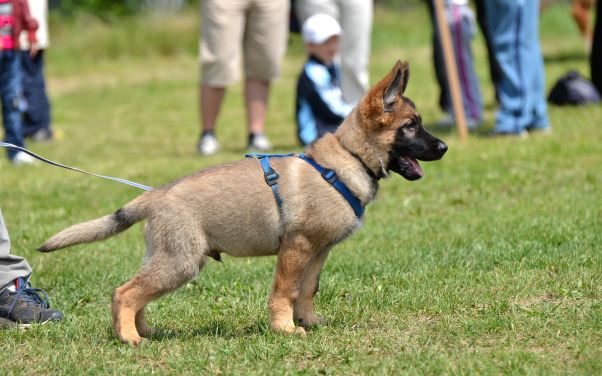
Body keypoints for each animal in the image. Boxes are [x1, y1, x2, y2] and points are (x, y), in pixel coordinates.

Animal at [38, 60, 446, 346]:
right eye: (411, 126)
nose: (444, 147)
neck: (347, 159)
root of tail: (156, 194)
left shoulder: (318, 252)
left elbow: (307, 290)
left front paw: (309, 322)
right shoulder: (296, 247)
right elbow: (285, 291)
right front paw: (284, 329)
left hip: (167, 257)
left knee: (136, 291)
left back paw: (144, 331)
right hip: (181, 261)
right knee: (124, 292)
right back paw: (128, 337)